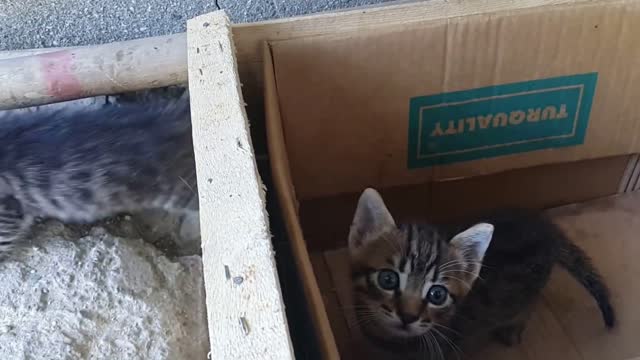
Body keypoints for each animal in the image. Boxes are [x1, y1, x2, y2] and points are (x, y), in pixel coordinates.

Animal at [350, 188, 616, 358]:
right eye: (388, 279)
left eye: (437, 295)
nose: (408, 316)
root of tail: (549, 228)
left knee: (527, 305)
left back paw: (512, 329)